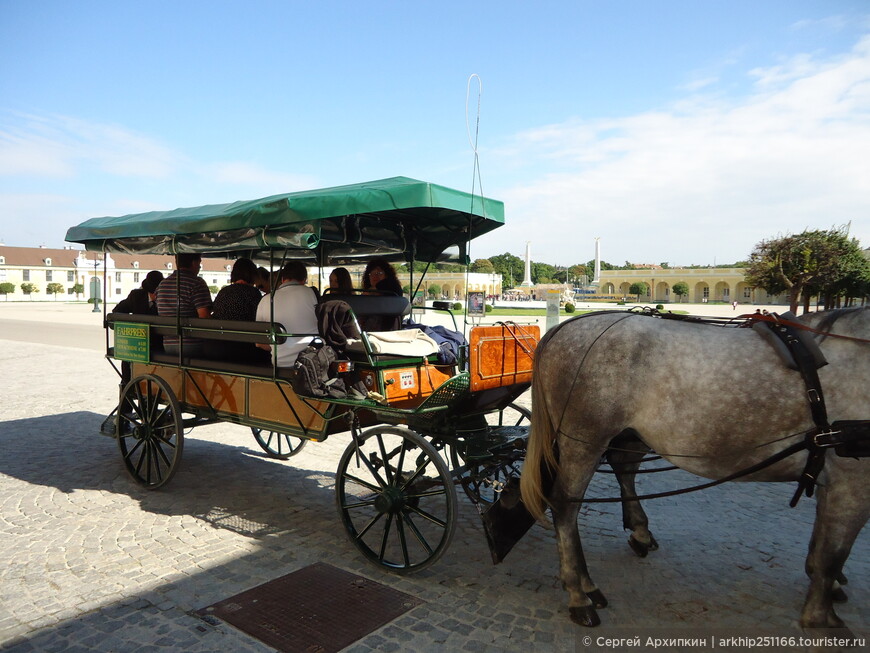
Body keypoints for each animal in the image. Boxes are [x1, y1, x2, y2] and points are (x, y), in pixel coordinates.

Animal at [520, 308, 870, 628]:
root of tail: (566, 327)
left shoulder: (833, 478)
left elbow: (822, 544)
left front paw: (828, 585)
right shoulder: (853, 485)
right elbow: (831, 554)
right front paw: (821, 616)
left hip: (626, 435)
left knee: (622, 470)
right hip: (585, 441)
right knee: (566, 505)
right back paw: (579, 591)